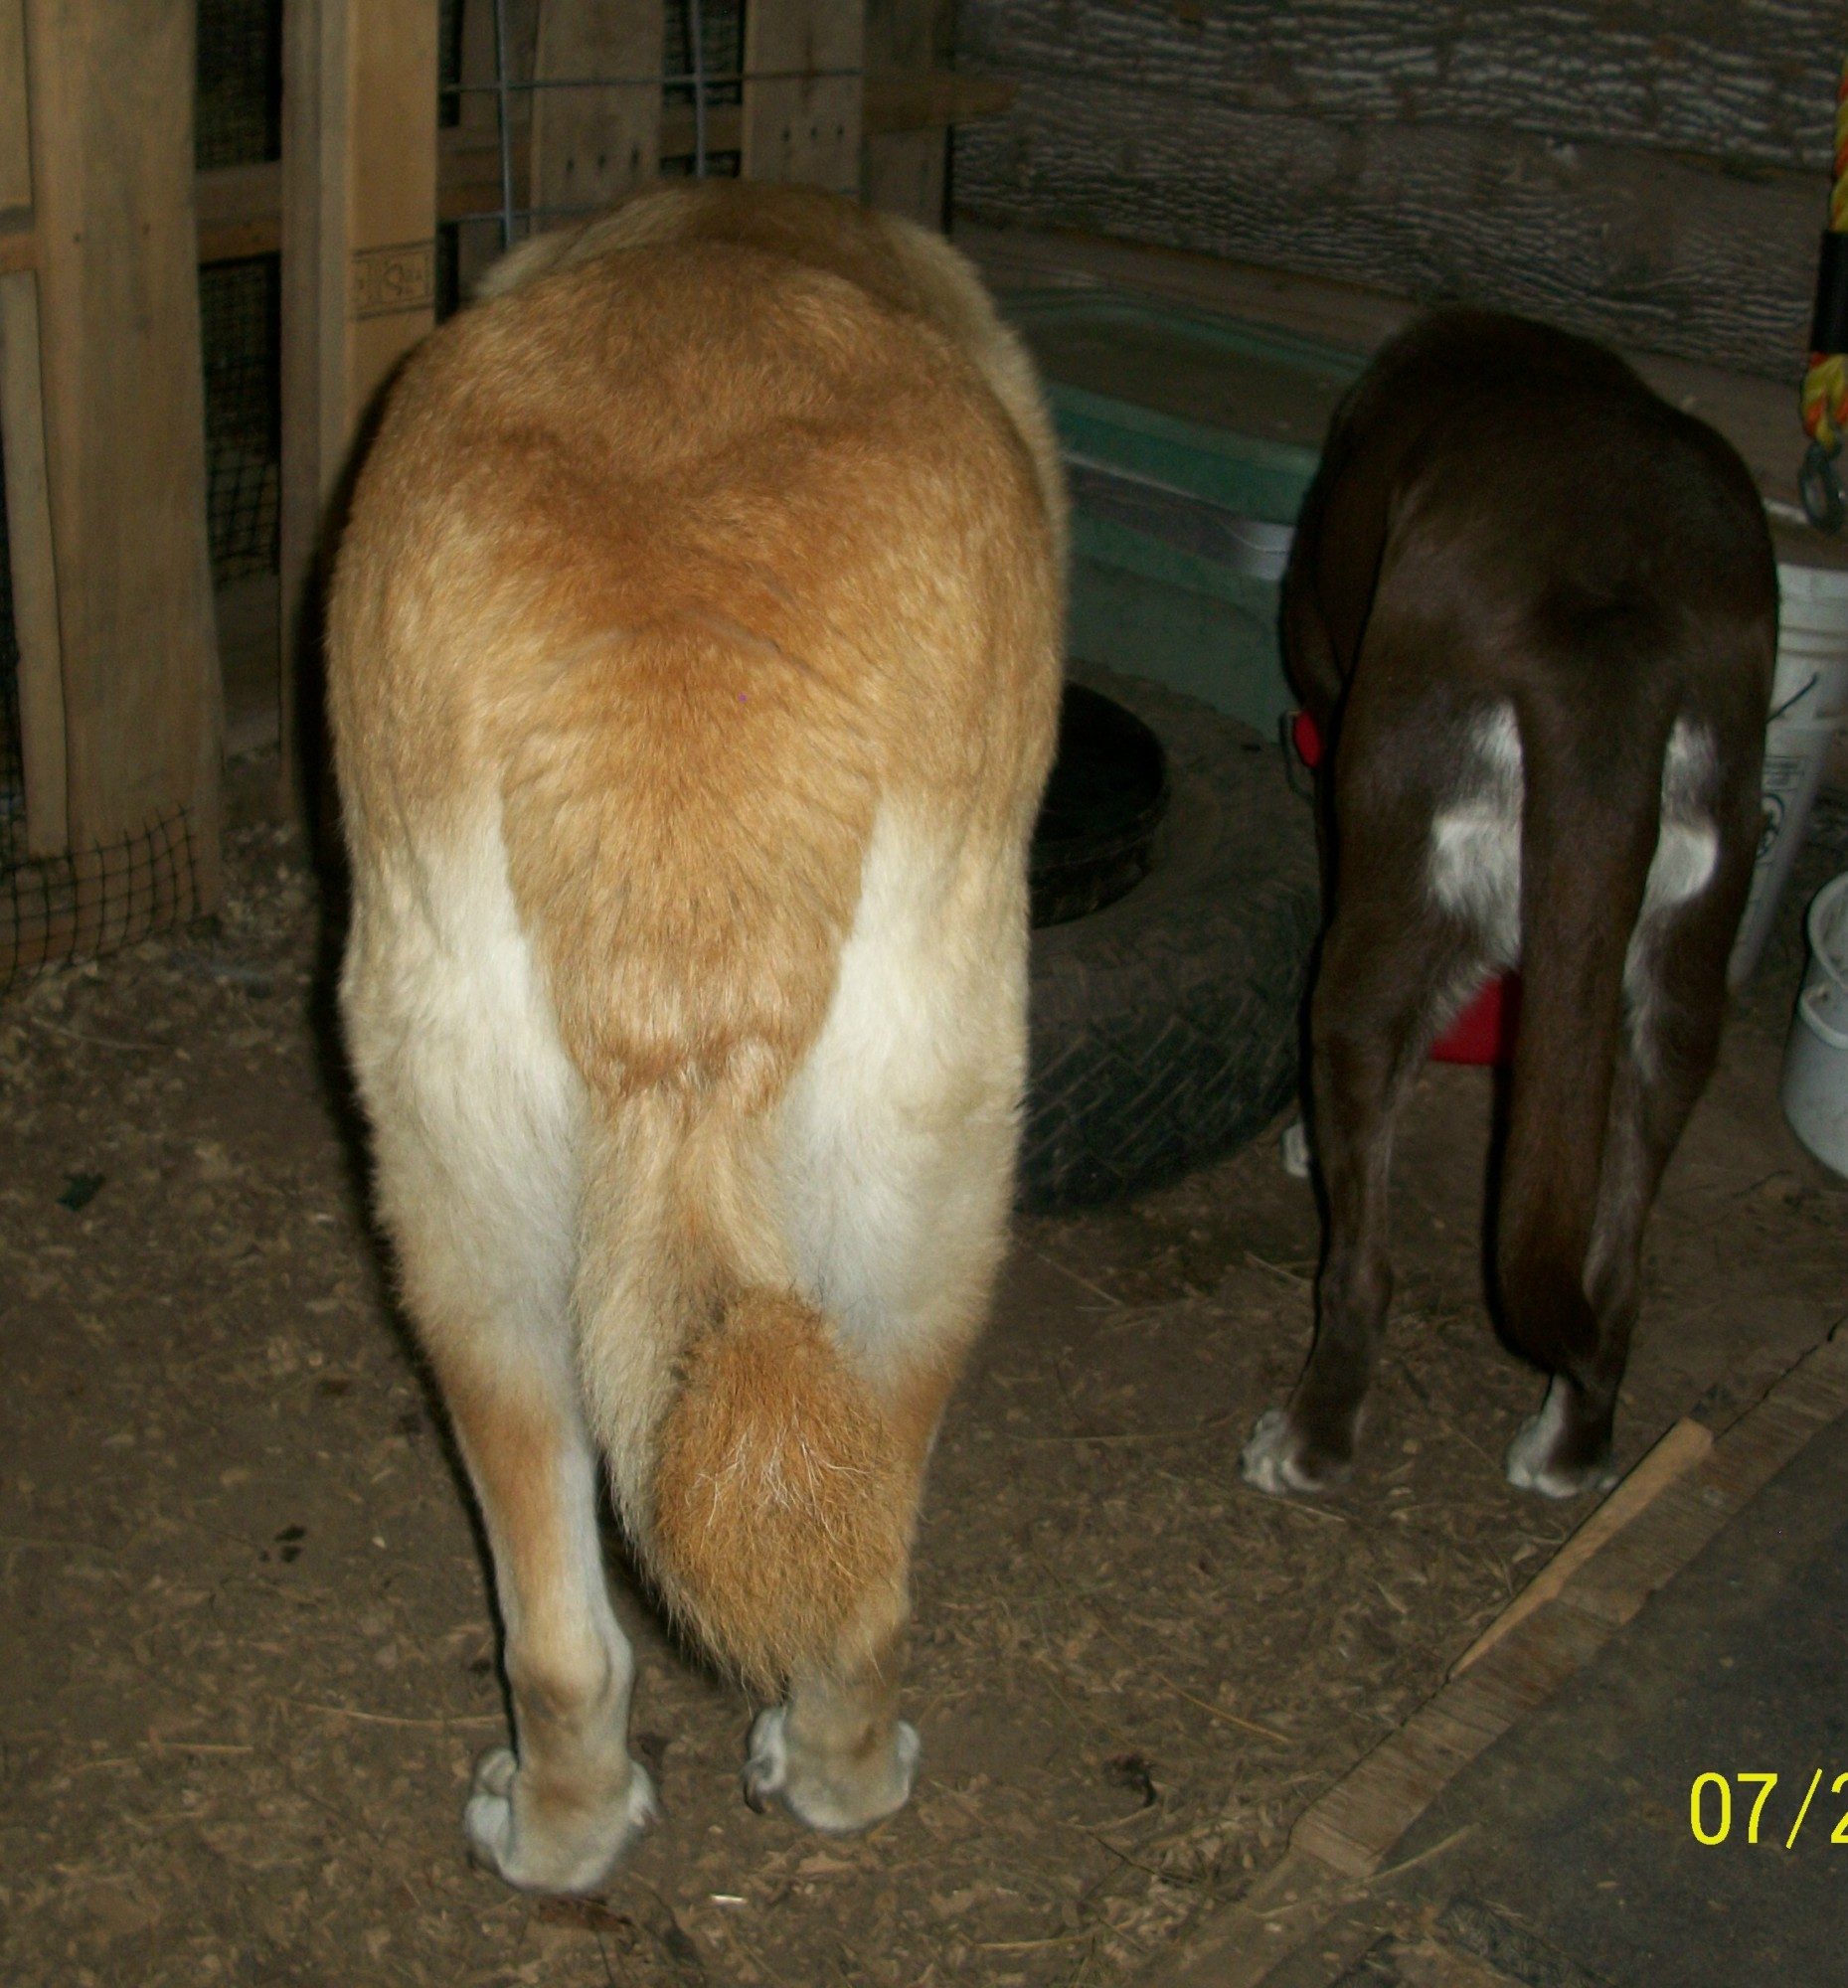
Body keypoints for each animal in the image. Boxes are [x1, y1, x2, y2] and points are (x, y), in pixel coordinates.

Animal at [328, 182, 1064, 1891]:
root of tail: (669, 711)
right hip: (930, 1207)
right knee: (861, 1605)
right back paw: (841, 1779)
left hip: (470, 1228)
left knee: (563, 1645)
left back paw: (557, 1834)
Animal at [1242, 310, 1775, 1502]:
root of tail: (1611, 637)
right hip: (1685, 958)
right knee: (1613, 1273)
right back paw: (1569, 1448)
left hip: (1378, 938)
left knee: (1362, 1266)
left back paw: (1306, 1442)